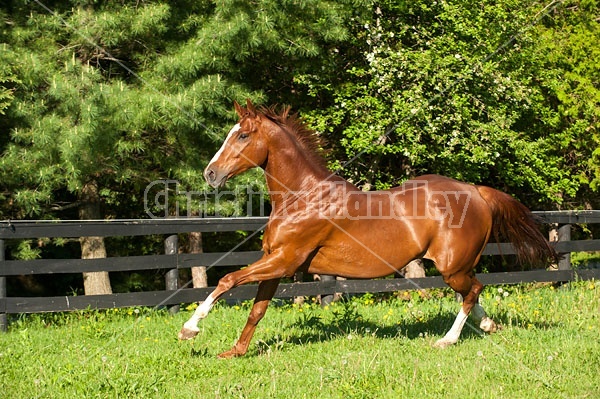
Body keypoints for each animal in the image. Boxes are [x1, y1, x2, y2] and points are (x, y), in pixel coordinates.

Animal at [179, 100, 556, 360]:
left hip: (452, 266)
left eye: (243, 135)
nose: (210, 174)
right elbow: (257, 309)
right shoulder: (277, 263)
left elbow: (227, 281)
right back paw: (490, 326)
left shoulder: (285, 260)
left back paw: (447, 340)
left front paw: (189, 329)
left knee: (472, 291)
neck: (303, 198)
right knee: (473, 292)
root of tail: (476, 190)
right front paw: (235, 352)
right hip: (458, 267)